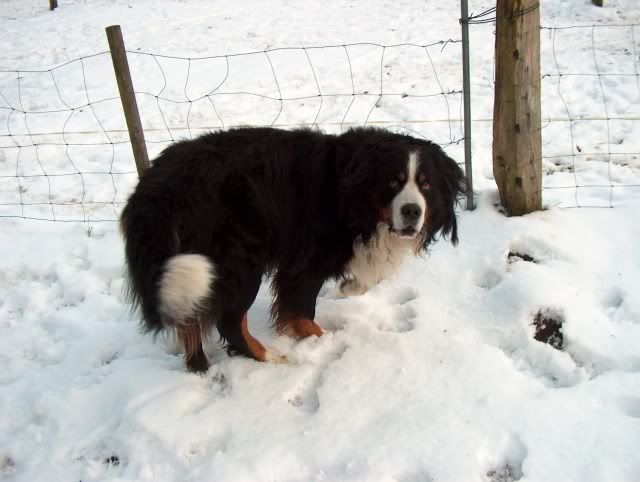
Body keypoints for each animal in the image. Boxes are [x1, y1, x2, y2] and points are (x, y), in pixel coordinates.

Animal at [120, 126, 462, 370]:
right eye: (393, 182)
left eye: (426, 184)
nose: (412, 211)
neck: (353, 190)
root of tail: (154, 187)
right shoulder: (306, 263)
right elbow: (303, 312)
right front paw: (323, 341)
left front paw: (350, 286)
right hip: (239, 258)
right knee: (229, 321)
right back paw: (272, 357)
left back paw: (199, 364)